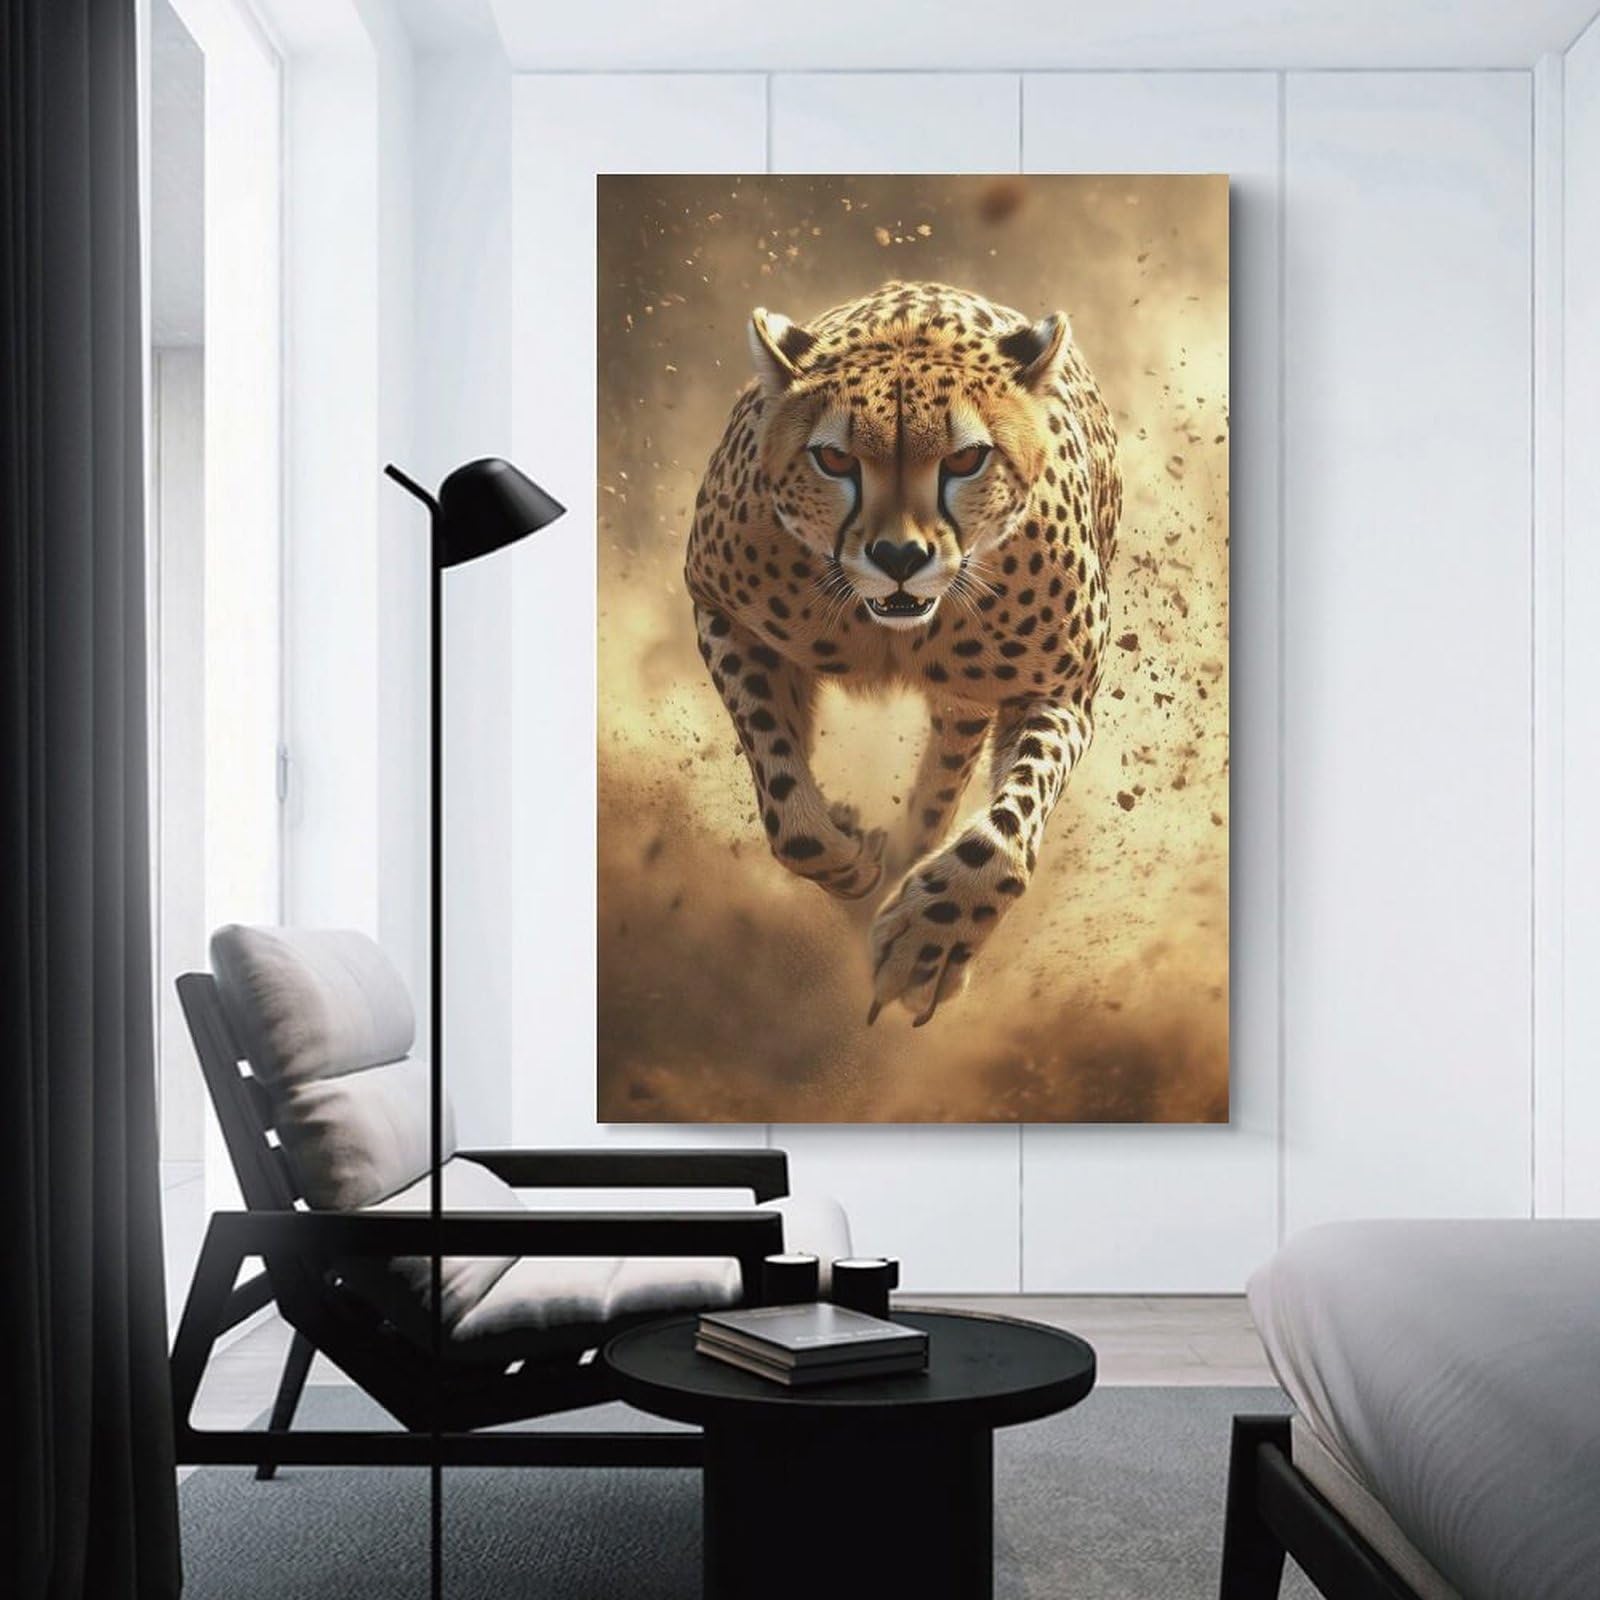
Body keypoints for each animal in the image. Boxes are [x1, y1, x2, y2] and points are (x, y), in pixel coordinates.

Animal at [684, 279, 1121, 1026]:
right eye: (834, 460)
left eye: (966, 459)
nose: (897, 558)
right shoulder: (720, 610)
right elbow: (784, 799)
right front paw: (846, 848)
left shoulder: (1060, 690)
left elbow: (1006, 831)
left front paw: (930, 936)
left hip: (970, 708)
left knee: (943, 787)